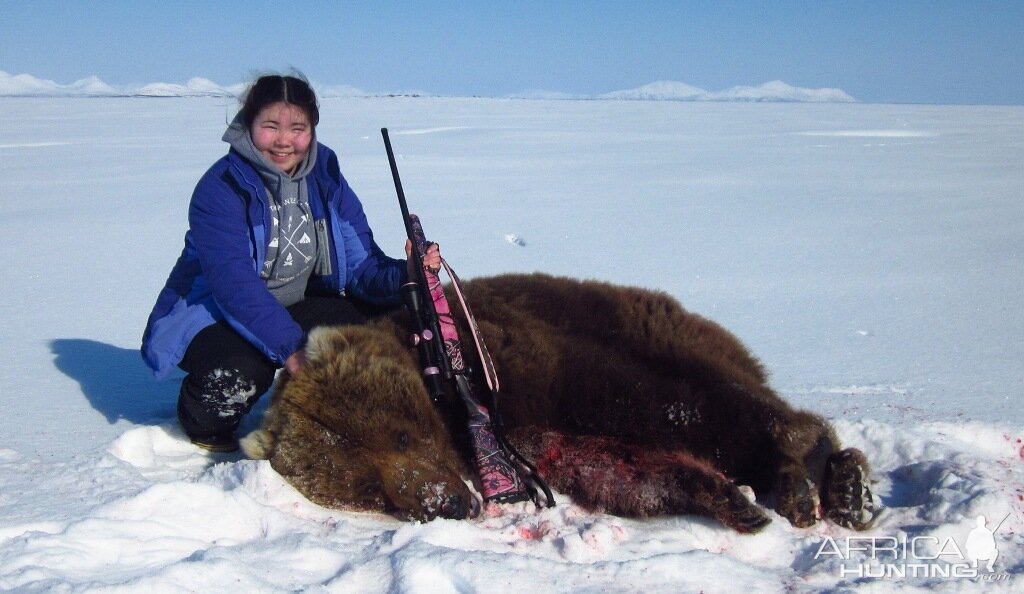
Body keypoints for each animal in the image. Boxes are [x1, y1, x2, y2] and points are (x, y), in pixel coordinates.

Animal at [239, 274, 872, 532]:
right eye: (369, 489)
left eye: (401, 432)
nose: (448, 503)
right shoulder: (536, 437)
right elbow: (617, 467)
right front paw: (731, 502)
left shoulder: (519, 358)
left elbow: (644, 401)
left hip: (667, 333)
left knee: (738, 403)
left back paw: (826, 478)